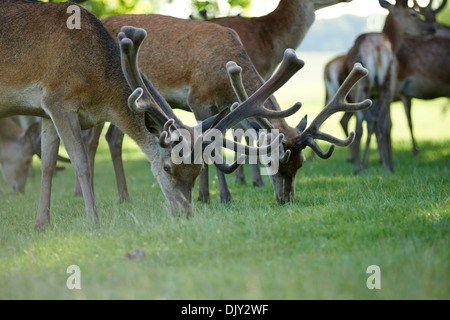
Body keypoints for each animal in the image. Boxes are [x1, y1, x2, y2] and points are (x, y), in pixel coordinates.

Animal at [0, 1, 292, 229]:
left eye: (198, 170)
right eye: (167, 167)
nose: (184, 214)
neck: (98, 88)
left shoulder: (46, 111)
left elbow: (48, 164)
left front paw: (41, 224)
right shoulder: (59, 99)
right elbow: (80, 163)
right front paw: (93, 222)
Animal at [326, 0, 434, 172]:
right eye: (413, 14)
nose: (431, 28)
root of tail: (377, 47)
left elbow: (372, 124)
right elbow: (382, 124)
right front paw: (384, 160)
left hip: (364, 88)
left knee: (366, 123)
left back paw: (364, 165)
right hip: (380, 86)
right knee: (375, 122)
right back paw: (379, 166)